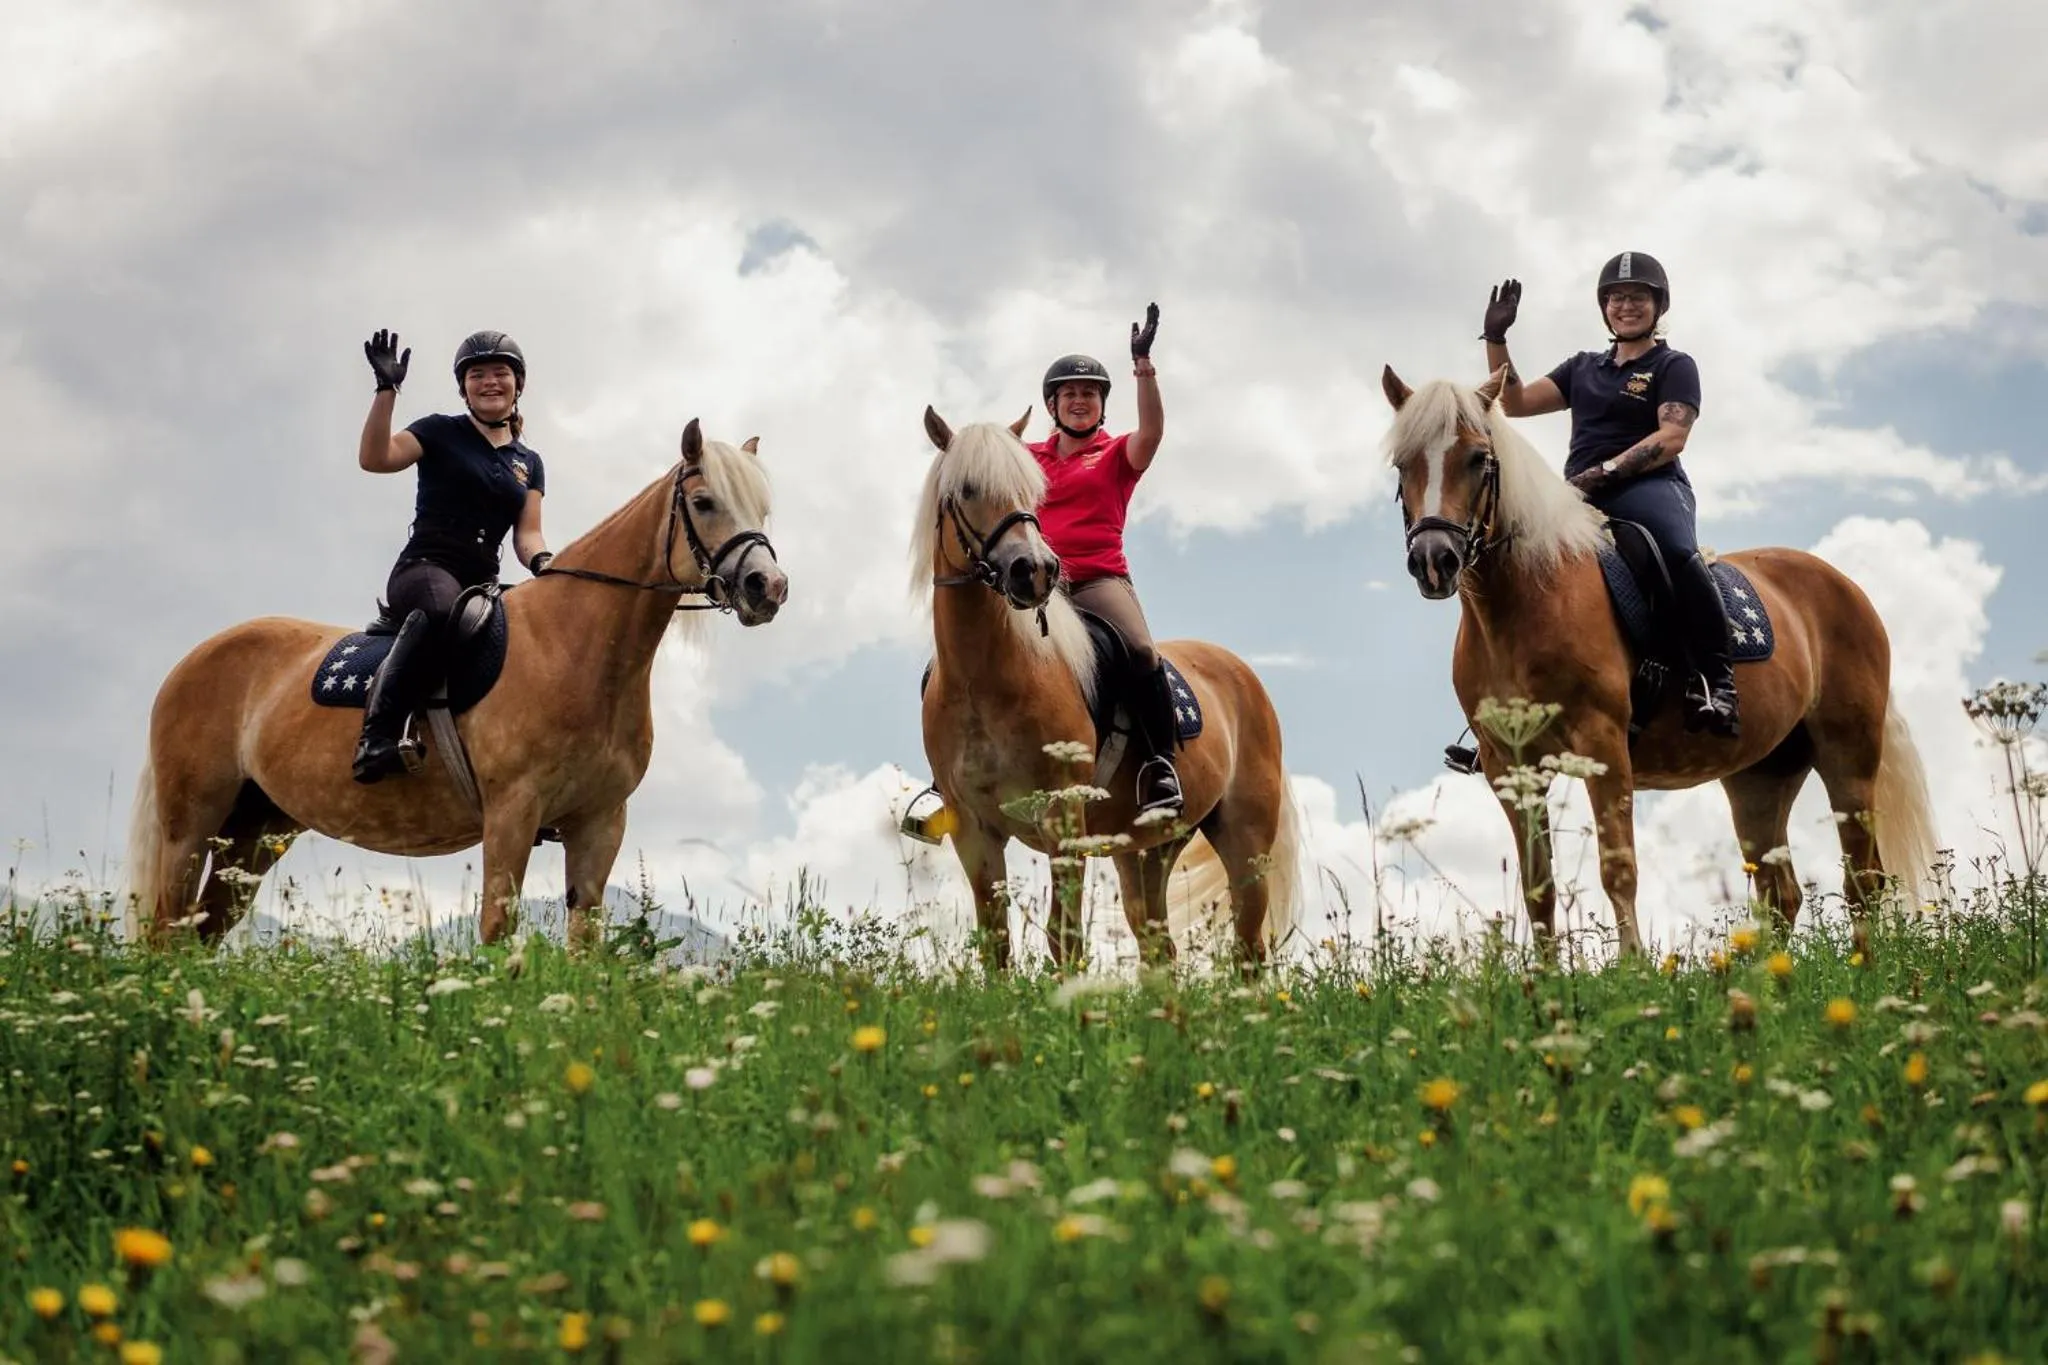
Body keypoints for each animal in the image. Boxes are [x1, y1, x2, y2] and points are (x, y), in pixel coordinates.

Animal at [125, 418, 786, 949]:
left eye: (762, 509)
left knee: (198, 936)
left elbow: (584, 944)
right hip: (191, 825)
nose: (768, 587)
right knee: (165, 933)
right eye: (703, 501)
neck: (574, 646)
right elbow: (497, 932)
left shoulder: (600, 823)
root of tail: (191, 661)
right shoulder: (512, 812)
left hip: (255, 835)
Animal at [911, 405, 1300, 973]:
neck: (984, 679)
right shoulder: (974, 832)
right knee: (1158, 945)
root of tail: (1241, 673)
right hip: (1146, 850)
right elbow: (996, 944)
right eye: (967, 489)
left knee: (1248, 947)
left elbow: (1064, 938)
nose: (1035, 571)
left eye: (1033, 492)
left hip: (1244, 839)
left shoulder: (1063, 823)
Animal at [1379, 366, 1937, 960]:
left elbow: (1618, 868)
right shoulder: (1512, 767)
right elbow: (1539, 886)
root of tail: (1845, 587)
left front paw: (1633, 968)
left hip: (1848, 757)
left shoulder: (1603, 748)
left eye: (1478, 458)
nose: (1434, 561)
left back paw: (1861, 965)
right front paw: (1546, 977)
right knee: (1780, 890)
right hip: (1761, 777)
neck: (1524, 603)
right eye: (1402, 464)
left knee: (1863, 879)